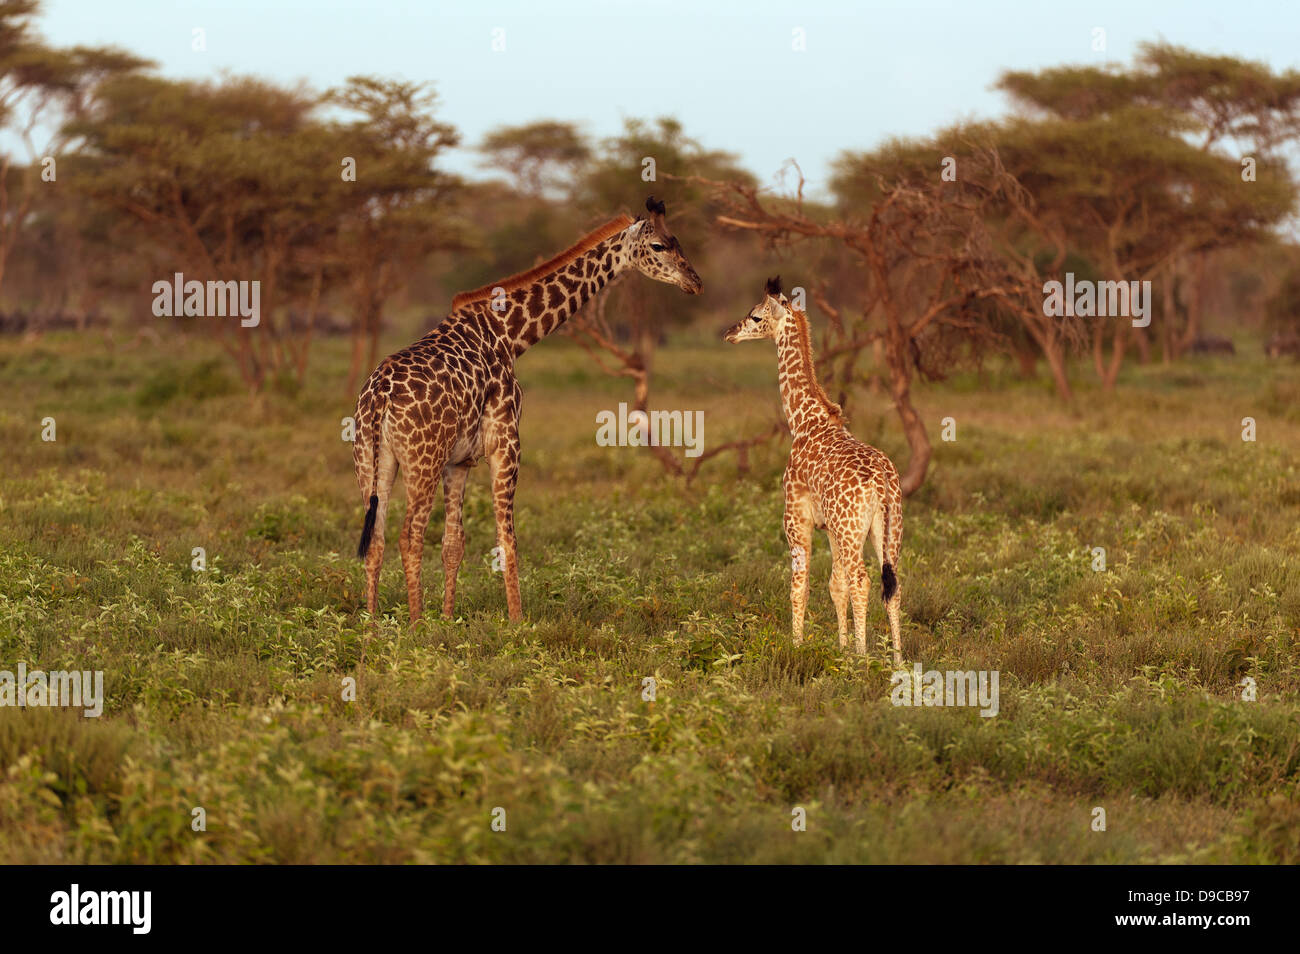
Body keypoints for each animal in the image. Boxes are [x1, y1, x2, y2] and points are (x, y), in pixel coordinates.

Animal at [356, 197, 702, 623]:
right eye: (658, 246)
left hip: (374, 462)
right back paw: (415, 625)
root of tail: (378, 397)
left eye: (678, 242)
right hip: (423, 460)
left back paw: (372, 624)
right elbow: (509, 539)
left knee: (376, 538)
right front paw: (517, 622)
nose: (695, 281)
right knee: (409, 535)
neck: (510, 334)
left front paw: (449, 620)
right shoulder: (506, 442)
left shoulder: (460, 460)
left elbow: (454, 543)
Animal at [722, 276, 904, 665]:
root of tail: (883, 484)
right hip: (887, 530)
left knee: (862, 581)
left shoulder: (797, 519)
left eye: (755, 316)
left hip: (852, 531)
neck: (804, 421)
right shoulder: (830, 528)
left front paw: (798, 647)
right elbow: (835, 586)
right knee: (890, 584)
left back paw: (864, 661)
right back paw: (897, 661)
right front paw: (842, 648)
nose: (730, 332)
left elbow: (800, 587)